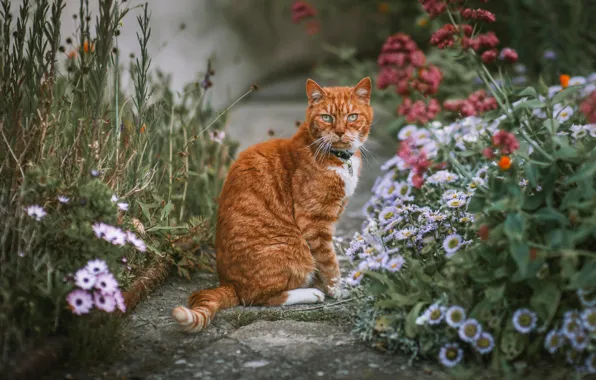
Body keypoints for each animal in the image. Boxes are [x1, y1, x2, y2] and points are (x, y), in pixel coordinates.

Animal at [170, 78, 372, 332]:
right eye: (327, 117)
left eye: (352, 116)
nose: (339, 132)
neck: (339, 159)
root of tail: (229, 283)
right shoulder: (314, 222)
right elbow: (329, 261)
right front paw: (336, 290)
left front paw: (329, 285)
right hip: (293, 249)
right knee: (258, 298)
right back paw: (310, 293)